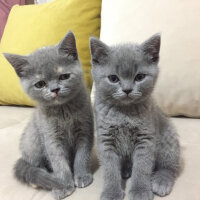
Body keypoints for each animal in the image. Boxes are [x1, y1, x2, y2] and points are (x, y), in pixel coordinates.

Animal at [4, 31, 94, 200]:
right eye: (40, 84)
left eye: (64, 76)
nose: (55, 89)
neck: (64, 112)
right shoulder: (51, 137)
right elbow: (58, 161)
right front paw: (63, 185)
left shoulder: (85, 130)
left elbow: (82, 155)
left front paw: (82, 176)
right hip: (33, 139)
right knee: (33, 164)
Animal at [90, 34, 180, 200]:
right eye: (113, 78)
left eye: (140, 77)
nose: (127, 90)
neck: (124, 112)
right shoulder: (105, 139)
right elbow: (110, 169)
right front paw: (111, 192)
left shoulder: (145, 138)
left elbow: (142, 167)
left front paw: (140, 191)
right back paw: (125, 170)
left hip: (167, 138)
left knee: (170, 166)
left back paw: (161, 181)